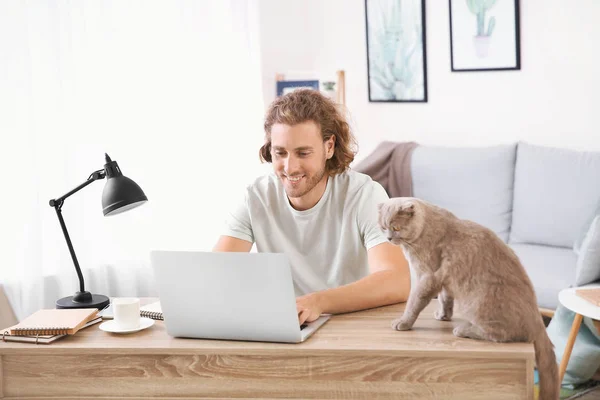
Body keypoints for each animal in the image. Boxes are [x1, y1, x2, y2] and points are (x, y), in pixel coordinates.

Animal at [380, 198, 556, 400]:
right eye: (383, 227)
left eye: (396, 227)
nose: (389, 238)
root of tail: (539, 322)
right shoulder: (446, 281)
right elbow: (445, 299)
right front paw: (443, 316)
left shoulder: (427, 277)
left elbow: (414, 302)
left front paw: (403, 322)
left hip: (478, 305)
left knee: (501, 334)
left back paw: (463, 330)